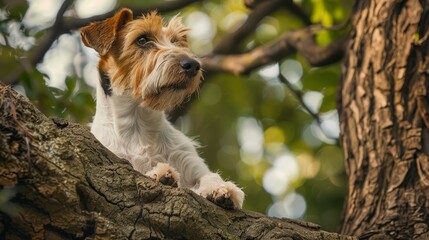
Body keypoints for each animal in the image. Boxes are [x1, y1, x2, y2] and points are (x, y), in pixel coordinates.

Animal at [80, 8, 244, 209]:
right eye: (142, 40)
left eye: (176, 41)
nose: (193, 65)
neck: (139, 124)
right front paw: (161, 174)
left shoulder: (189, 161)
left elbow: (208, 176)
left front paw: (222, 190)